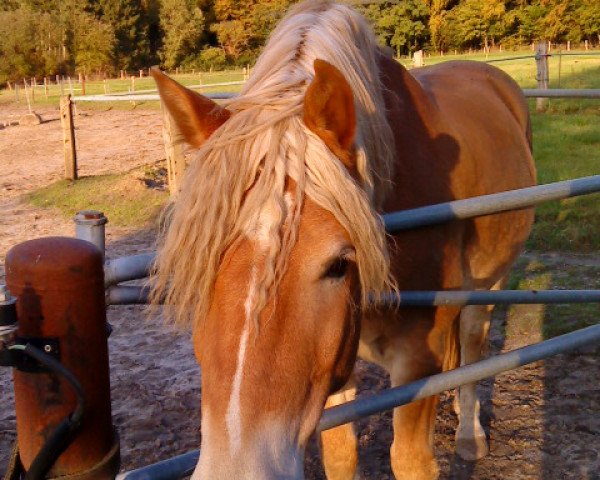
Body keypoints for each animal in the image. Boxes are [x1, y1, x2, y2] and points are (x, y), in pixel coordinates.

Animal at [150, 1, 536, 478]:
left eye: (338, 264)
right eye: (201, 265)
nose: (236, 469)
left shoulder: (418, 359)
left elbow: (410, 459)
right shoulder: (333, 365)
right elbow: (340, 455)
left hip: (489, 284)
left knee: (474, 346)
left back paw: (470, 434)